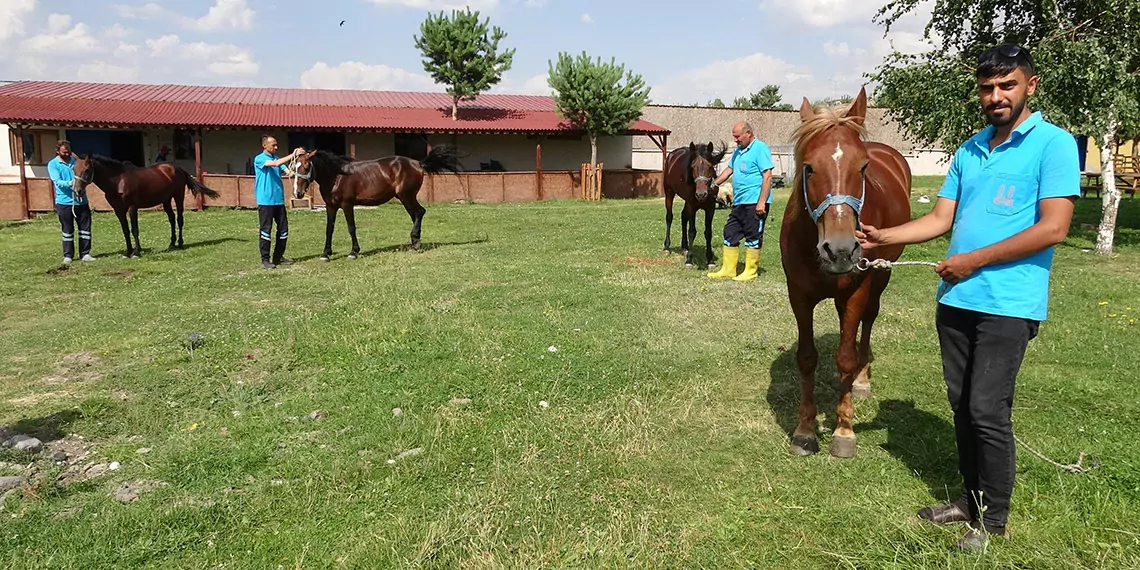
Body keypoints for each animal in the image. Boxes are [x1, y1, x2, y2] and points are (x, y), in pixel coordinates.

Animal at [74, 152, 222, 257]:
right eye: (74, 169)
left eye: (87, 169)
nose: (77, 191)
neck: (118, 181)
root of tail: (178, 168)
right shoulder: (118, 210)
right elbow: (125, 230)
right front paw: (128, 252)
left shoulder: (132, 208)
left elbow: (134, 229)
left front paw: (136, 252)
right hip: (166, 200)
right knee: (172, 219)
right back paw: (171, 243)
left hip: (178, 197)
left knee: (179, 219)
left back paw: (180, 243)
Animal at [291, 143, 465, 259]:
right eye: (295, 167)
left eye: (306, 167)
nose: (297, 193)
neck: (337, 176)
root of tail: (417, 163)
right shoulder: (330, 206)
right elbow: (329, 229)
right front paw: (326, 254)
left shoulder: (347, 205)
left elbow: (351, 227)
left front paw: (354, 252)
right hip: (406, 198)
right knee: (416, 214)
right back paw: (415, 242)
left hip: (406, 196)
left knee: (419, 212)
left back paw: (415, 240)